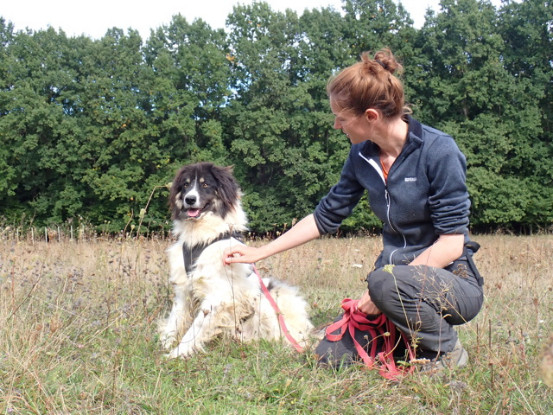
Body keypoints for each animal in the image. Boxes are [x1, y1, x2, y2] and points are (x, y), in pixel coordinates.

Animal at [159, 162, 313, 358]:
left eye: (205, 184)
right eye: (185, 185)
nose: (190, 199)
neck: (201, 239)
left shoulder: (218, 296)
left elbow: (195, 328)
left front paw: (178, 353)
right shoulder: (183, 289)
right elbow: (175, 319)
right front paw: (165, 344)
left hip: (266, 303)